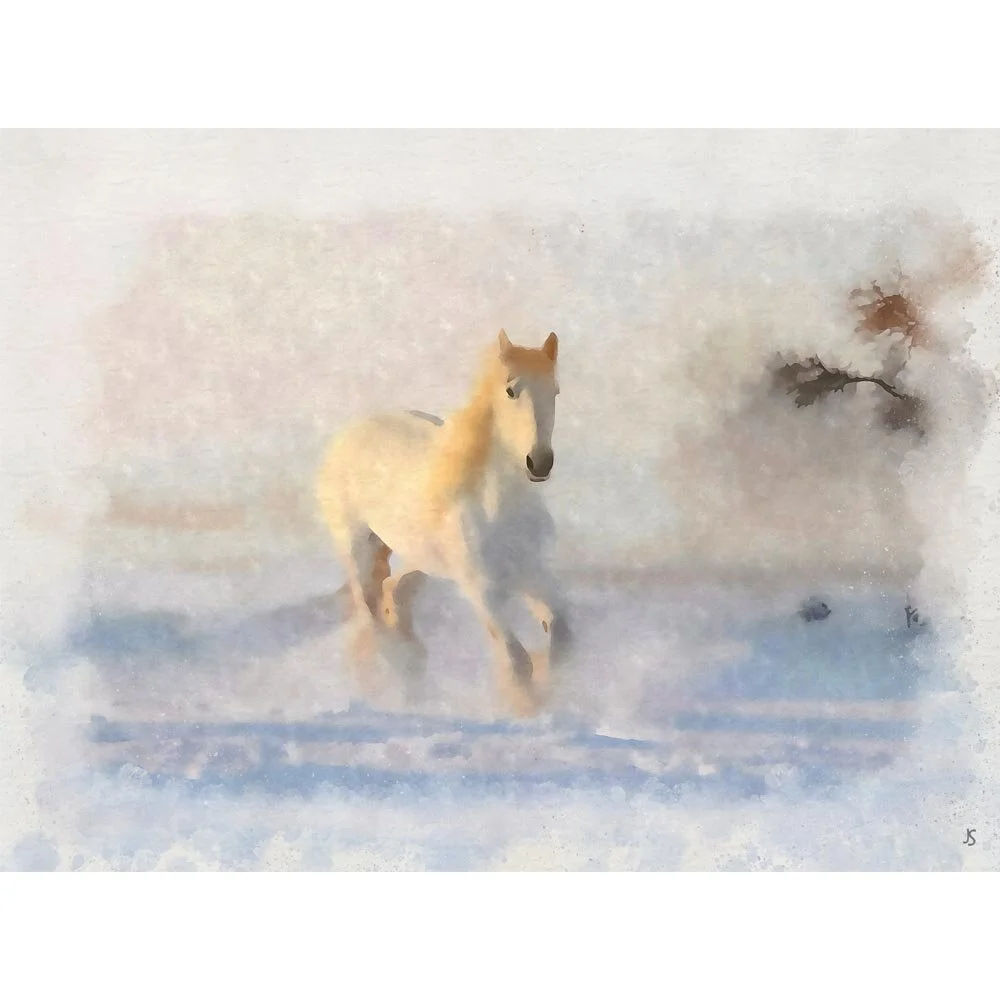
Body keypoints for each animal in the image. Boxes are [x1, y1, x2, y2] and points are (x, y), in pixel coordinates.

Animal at [316, 329, 571, 716]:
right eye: (511, 391)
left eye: (554, 391)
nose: (539, 462)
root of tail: (349, 432)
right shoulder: (481, 589)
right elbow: (517, 661)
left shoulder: (532, 572)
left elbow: (560, 637)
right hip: (357, 549)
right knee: (372, 613)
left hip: (416, 557)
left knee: (394, 594)